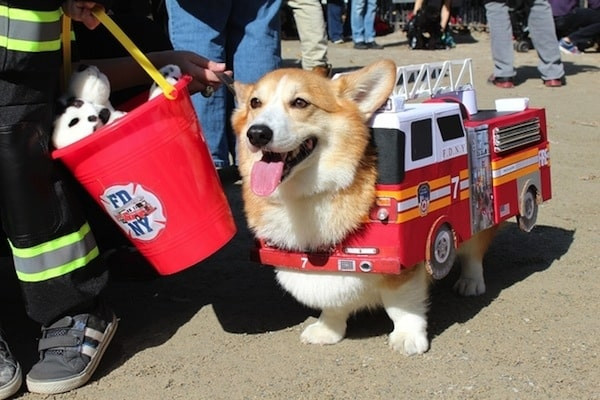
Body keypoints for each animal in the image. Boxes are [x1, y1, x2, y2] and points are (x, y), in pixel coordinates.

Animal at [230, 61, 496, 354]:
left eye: (300, 102)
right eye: (255, 102)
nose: (257, 133)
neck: (306, 196)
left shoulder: (405, 255)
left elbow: (401, 305)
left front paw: (408, 337)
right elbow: (333, 303)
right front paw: (327, 329)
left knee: (474, 249)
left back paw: (471, 282)